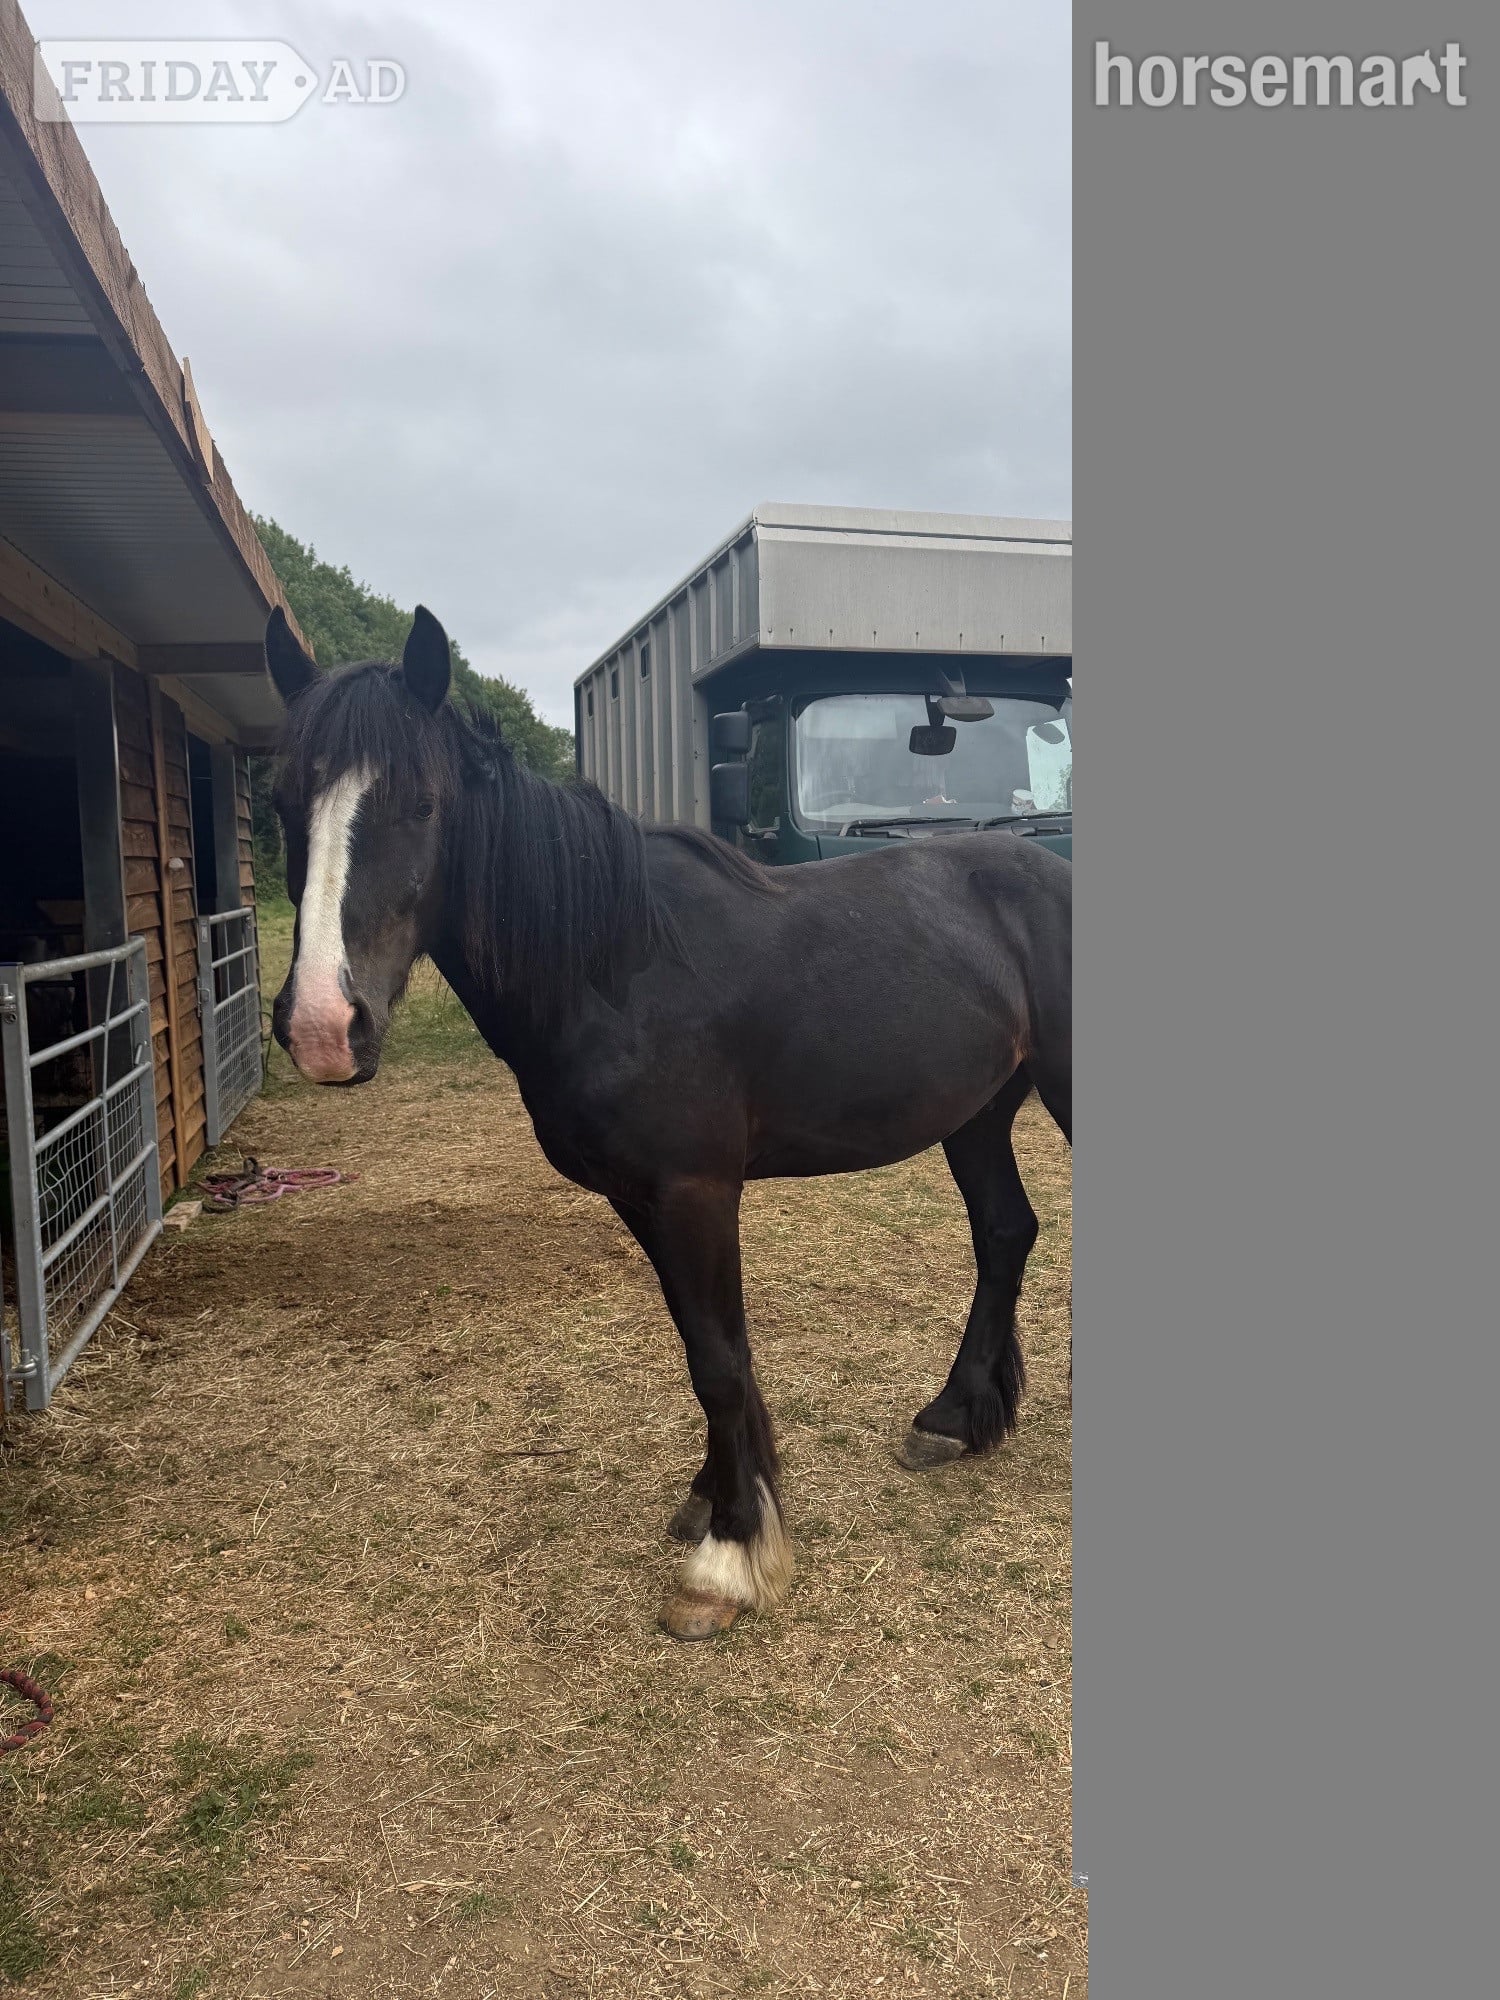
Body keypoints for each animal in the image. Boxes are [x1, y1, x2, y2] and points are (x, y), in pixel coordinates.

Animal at [263, 605, 1072, 1641]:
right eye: (285, 799)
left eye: (422, 803)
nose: (324, 1027)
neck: (618, 964)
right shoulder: (642, 1199)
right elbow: (706, 1347)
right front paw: (721, 1494)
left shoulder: (694, 1191)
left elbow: (720, 1360)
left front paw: (725, 1562)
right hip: (976, 1115)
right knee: (1006, 1233)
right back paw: (952, 1417)